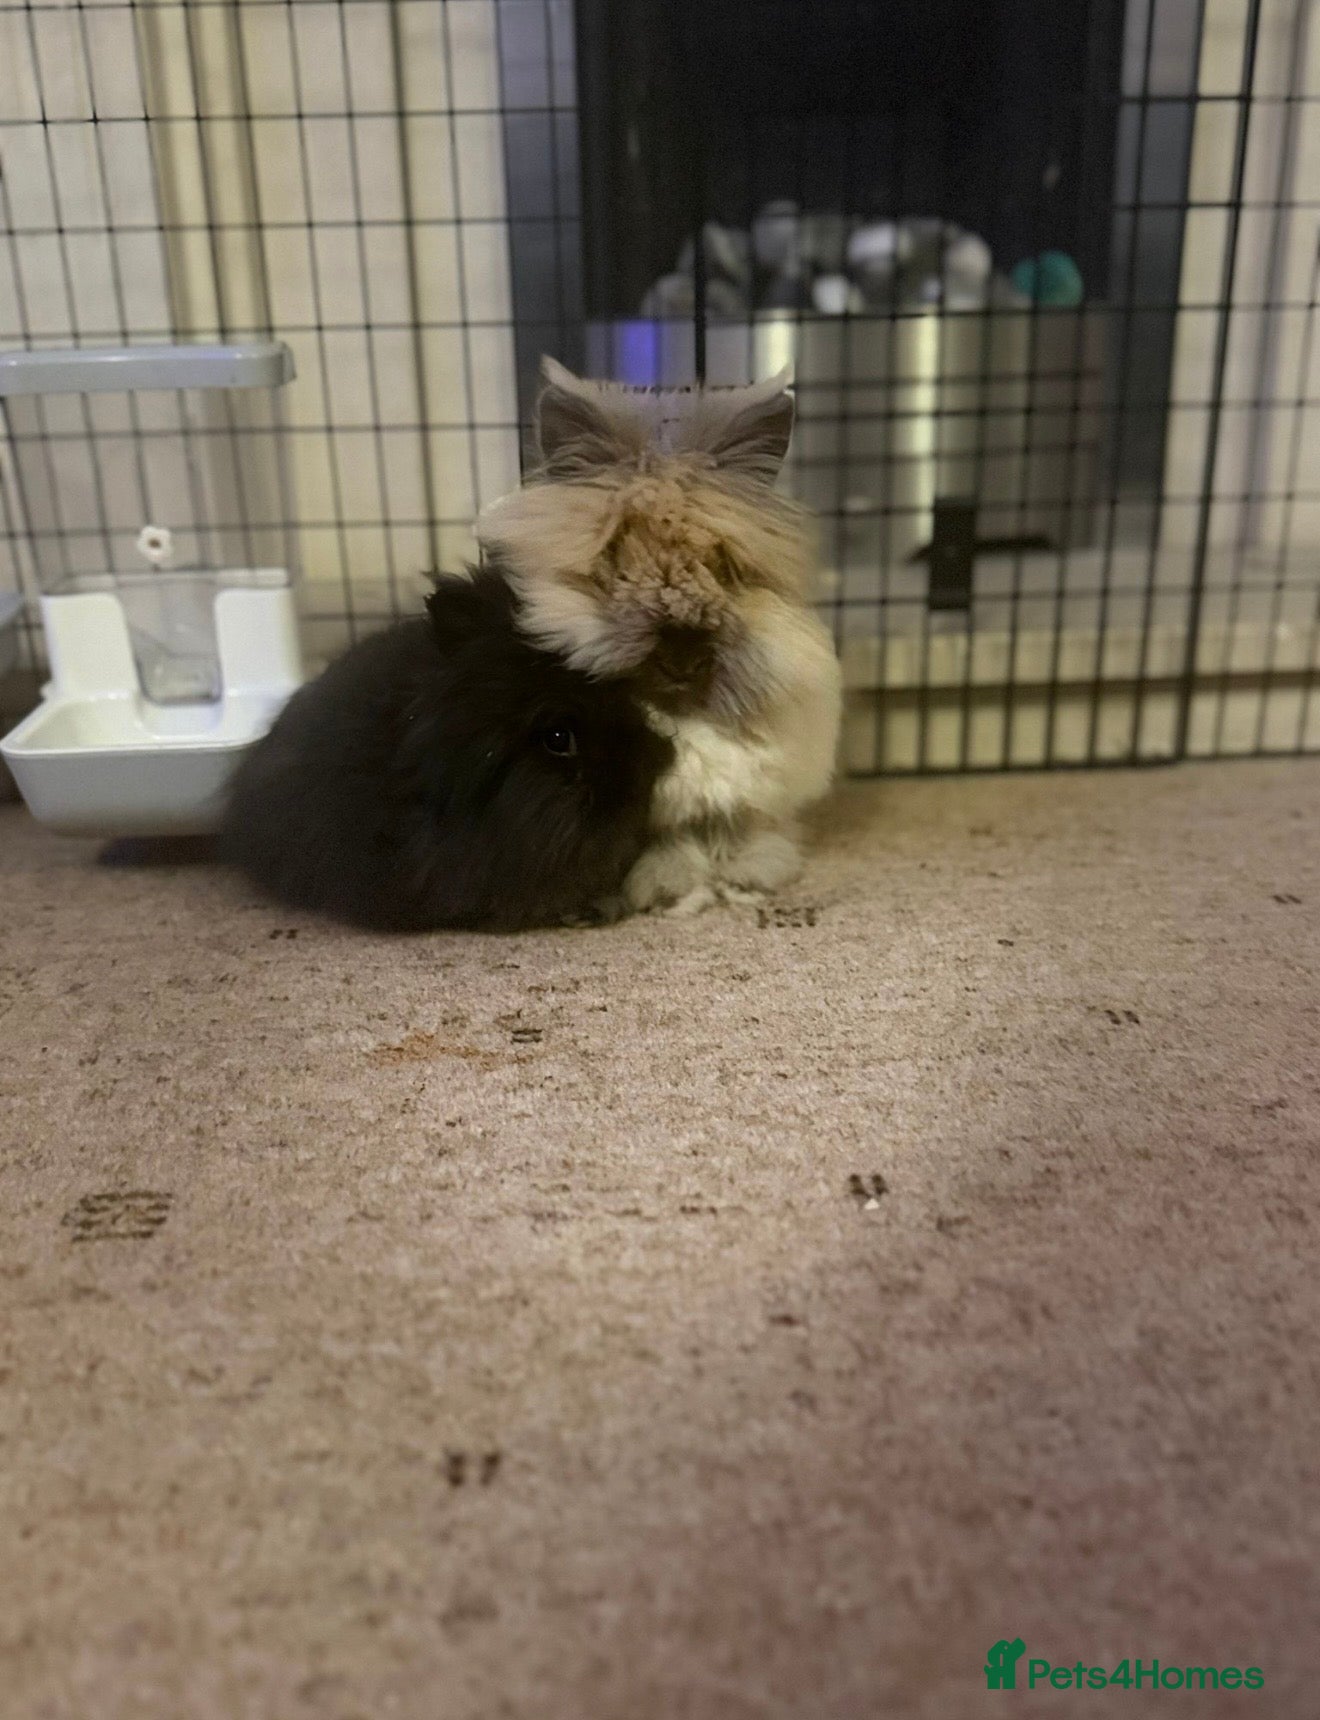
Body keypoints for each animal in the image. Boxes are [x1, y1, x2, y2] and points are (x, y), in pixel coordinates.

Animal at [475, 358, 842, 916]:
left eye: (724, 569)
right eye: (616, 563)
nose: (683, 659)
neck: (683, 713)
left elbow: (735, 823)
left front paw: (752, 871)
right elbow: (670, 838)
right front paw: (669, 882)